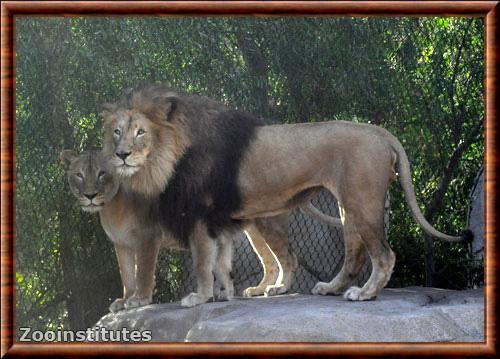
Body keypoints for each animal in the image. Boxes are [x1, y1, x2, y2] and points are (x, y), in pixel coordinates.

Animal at [102, 83, 472, 306]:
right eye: (117, 132)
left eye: (141, 132)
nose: (121, 155)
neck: (169, 155)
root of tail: (381, 133)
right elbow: (221, 262)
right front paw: (223, 295)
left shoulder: (201, 216)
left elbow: (203, 263)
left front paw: (201, 297)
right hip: (346, 206)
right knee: (351, 255)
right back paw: (329, 288)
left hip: (361, 200)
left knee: (383, 254)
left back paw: (364, 294)